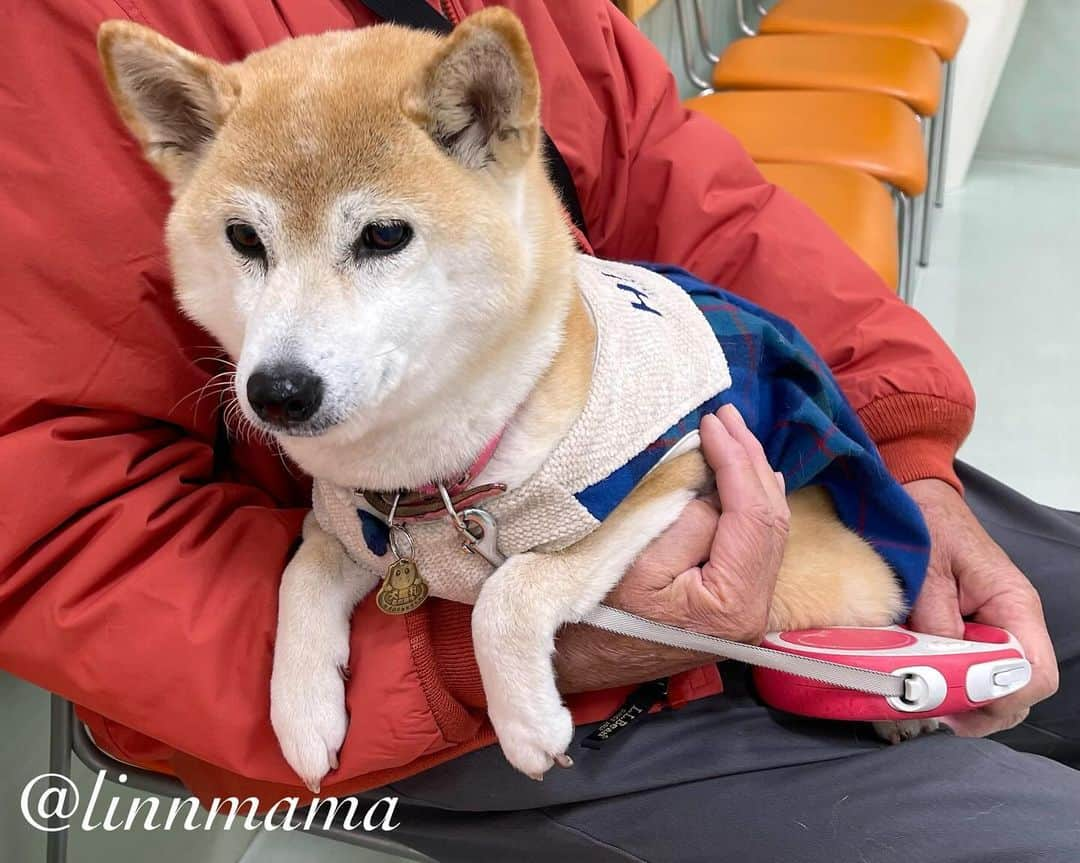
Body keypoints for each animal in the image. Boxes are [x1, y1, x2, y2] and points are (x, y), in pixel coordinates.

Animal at [97, 8, 920, 790]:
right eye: (243, 237)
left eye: (384, 235)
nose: (278, 391)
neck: (432, 485)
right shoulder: (347, 525)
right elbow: (297, 581)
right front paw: (301, 712)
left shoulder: (661, 477)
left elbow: (509, 591)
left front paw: (525, 721)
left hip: (823, 579)